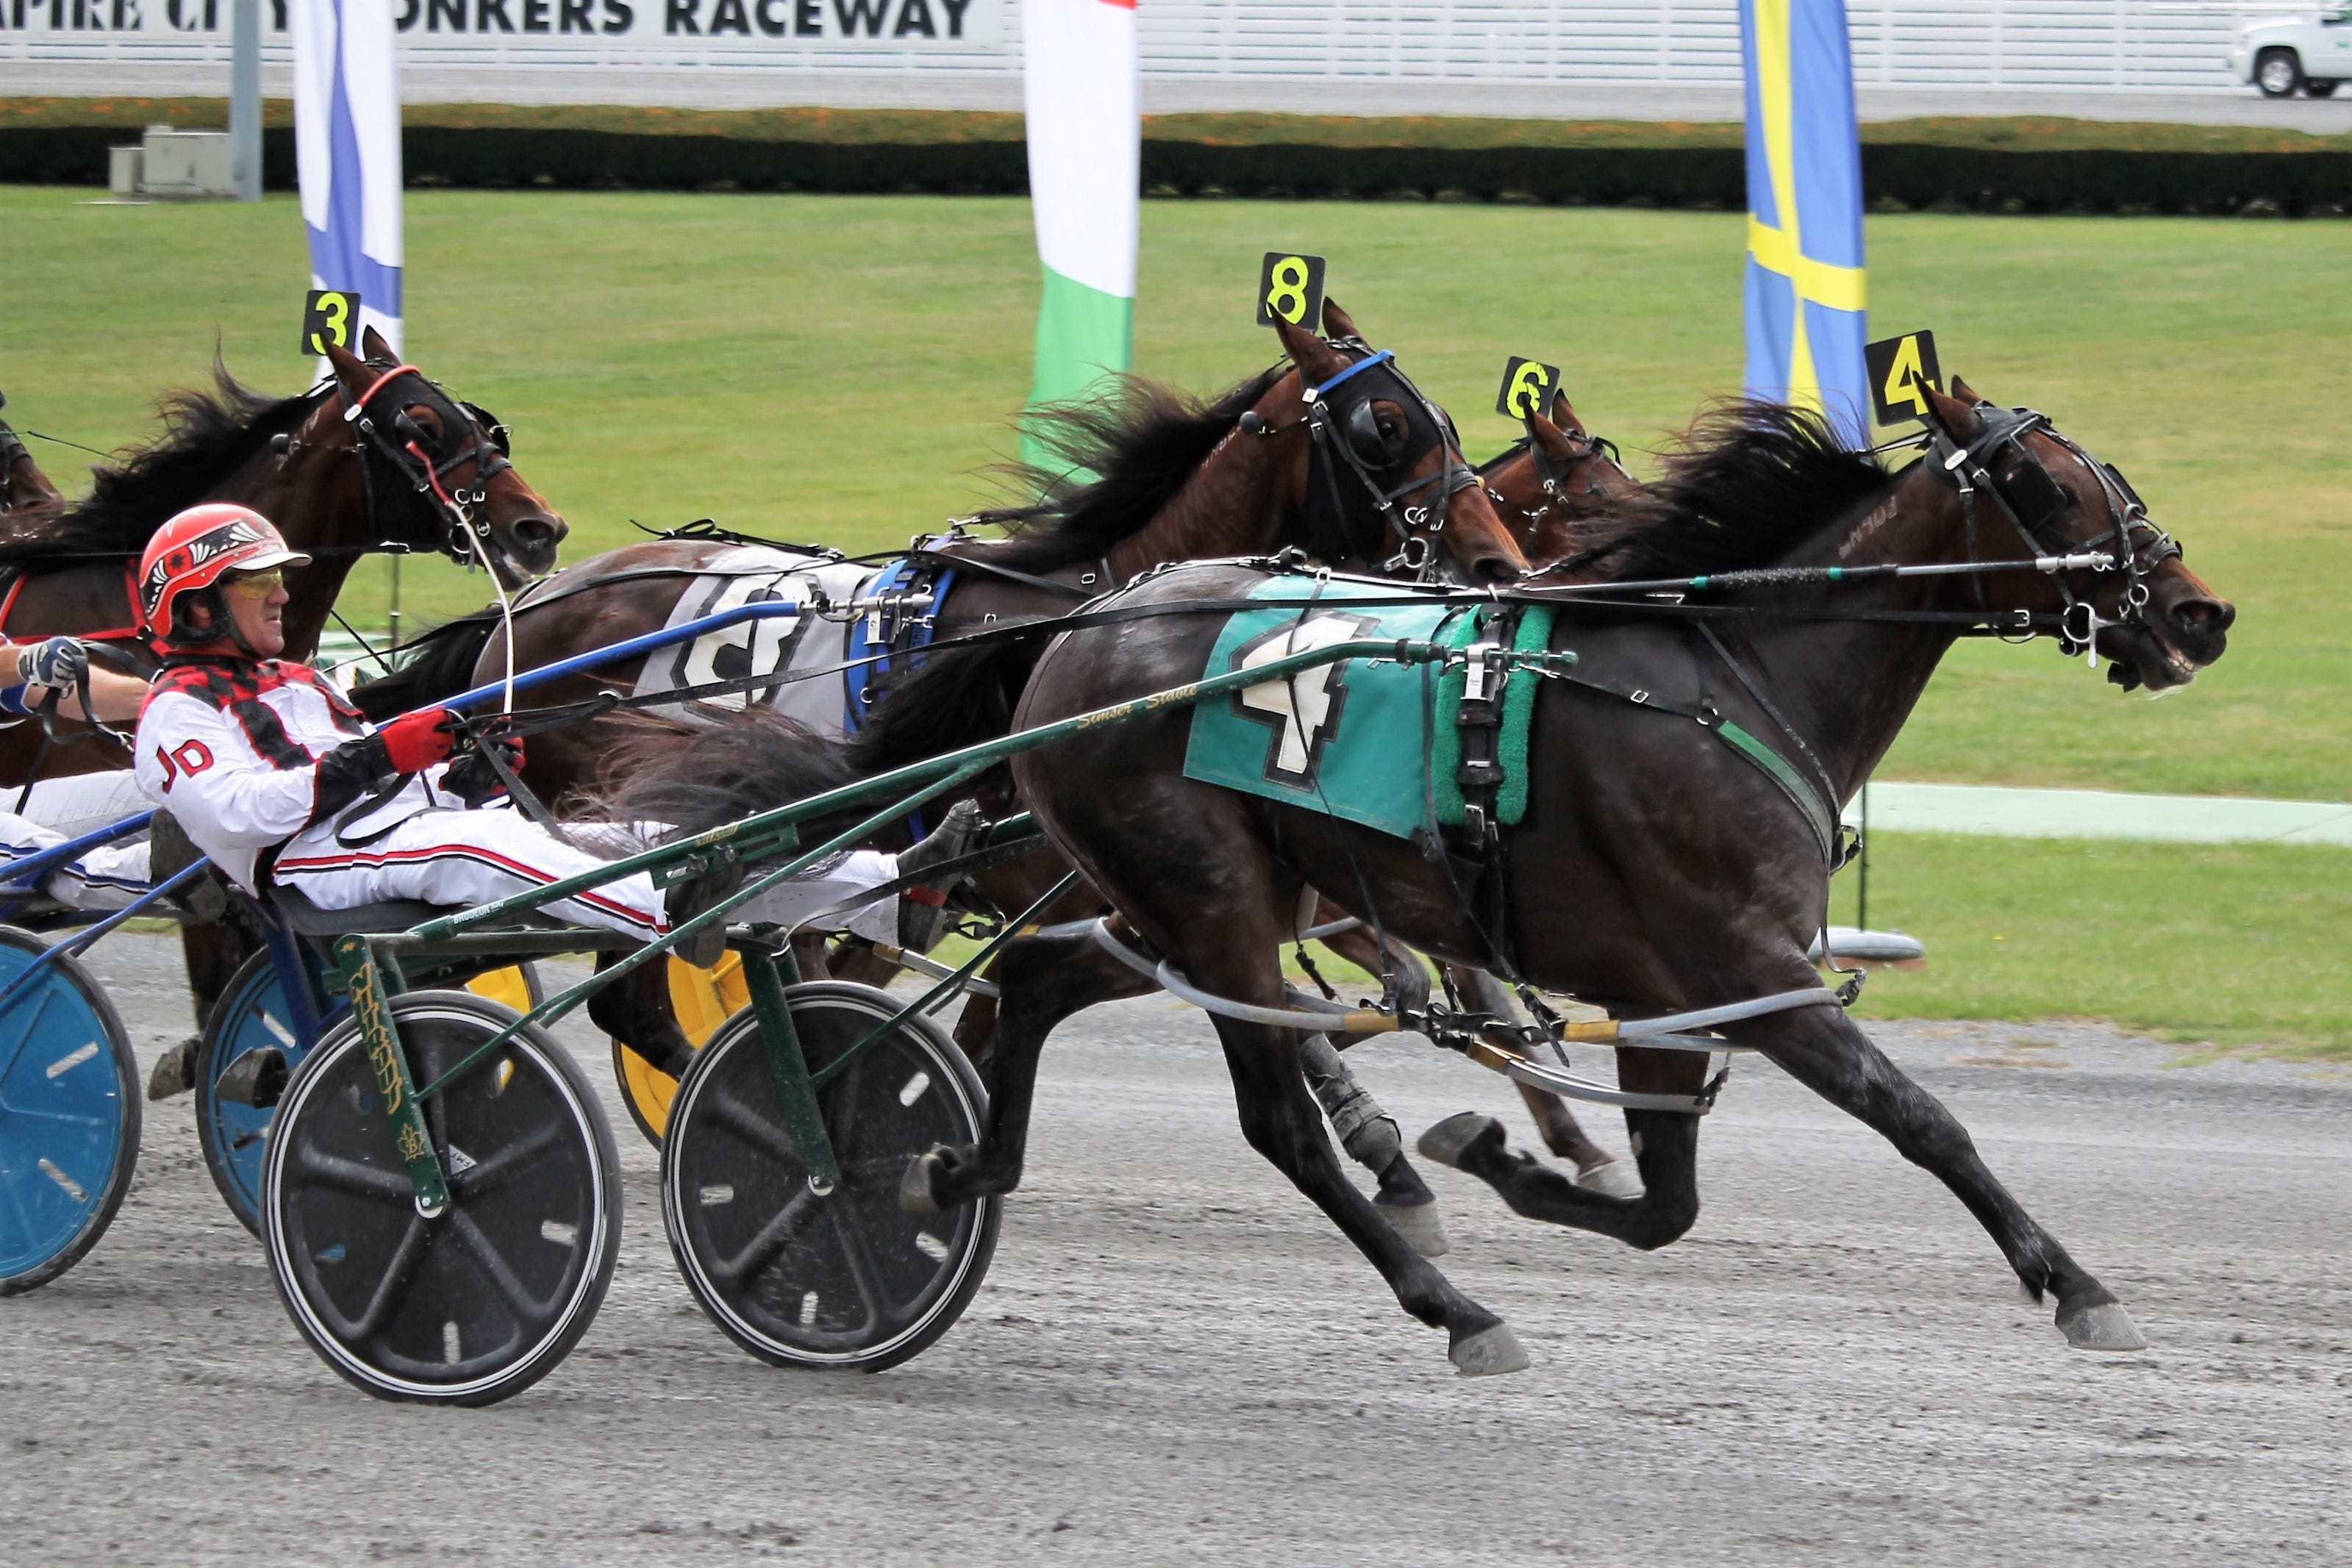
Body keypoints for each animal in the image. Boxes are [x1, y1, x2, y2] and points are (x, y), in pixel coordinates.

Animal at [896, 381, 2234, 1373]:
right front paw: (2074, 1283)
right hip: (1209, 905)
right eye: (2054, 484)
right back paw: (1455, 1309)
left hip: (1185, 908)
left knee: (1033, 978)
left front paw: (1502, 1152)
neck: (1733, 675)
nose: (2196, 609)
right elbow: (1920, 1119)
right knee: (1274, 1121)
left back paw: (963, 1165)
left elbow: (1662, 1205)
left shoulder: (1663, 997)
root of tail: (1077, 632)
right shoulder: (1745, 968)